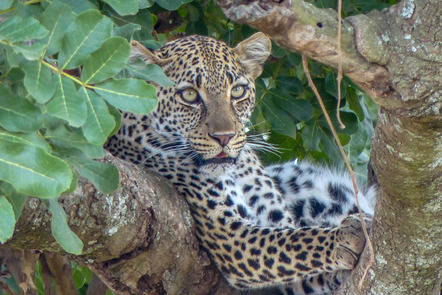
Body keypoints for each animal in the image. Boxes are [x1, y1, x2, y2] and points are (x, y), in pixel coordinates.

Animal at [105, 33, 374, 294]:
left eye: (237, 91)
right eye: (189, 95)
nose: (224, 137)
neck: (234, 172)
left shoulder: (278, 224)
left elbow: (294, 241)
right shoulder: (229, 235)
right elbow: (294, 242)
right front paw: (343, 238)